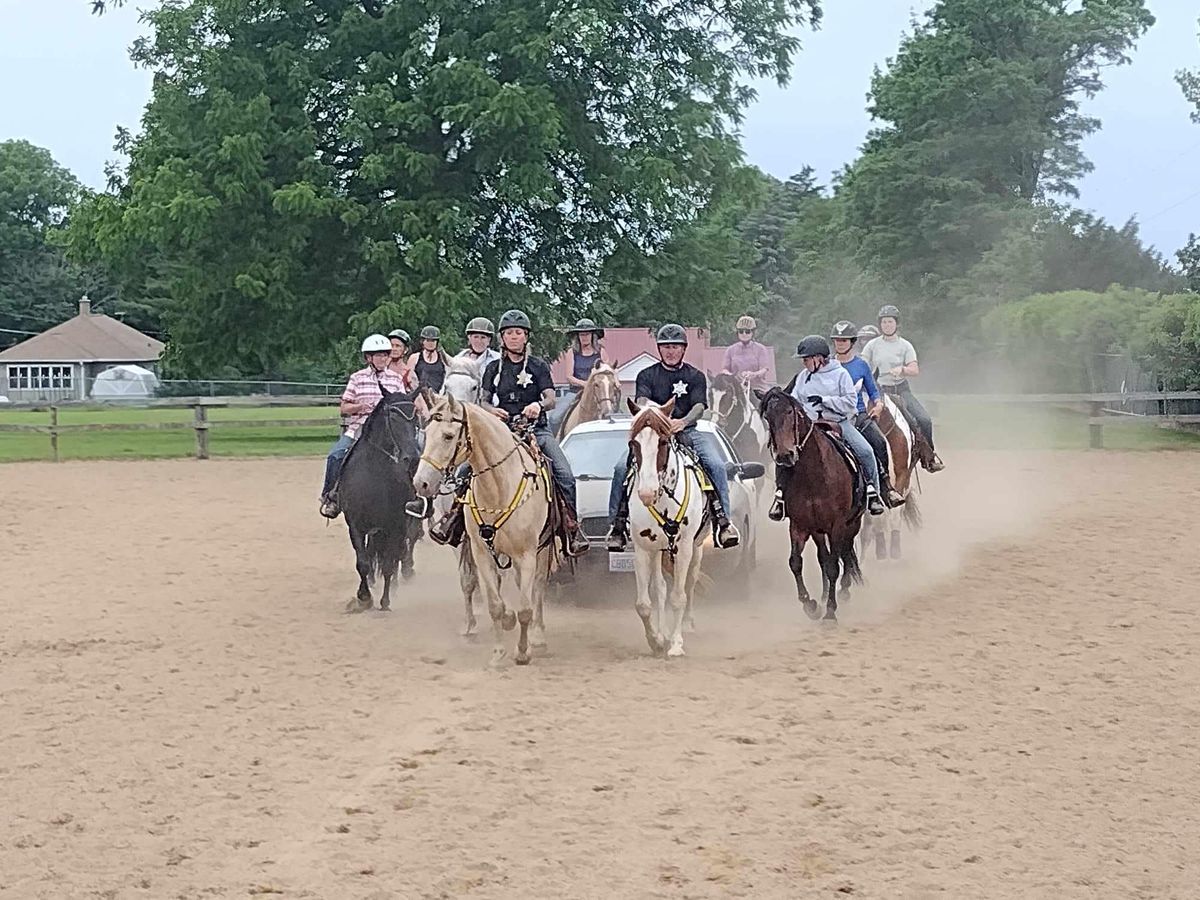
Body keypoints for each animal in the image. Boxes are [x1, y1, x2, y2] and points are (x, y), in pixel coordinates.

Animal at [338, 391, 422, 619]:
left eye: (415, 417)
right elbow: (363, 563)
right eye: (392, 416)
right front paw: (364, 597)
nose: (412, 458)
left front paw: (384, 601)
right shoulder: (356, 527)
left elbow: (388, 565)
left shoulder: (396, 526)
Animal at [412, 396, 556, 672]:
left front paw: (523, 652)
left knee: (538, 588)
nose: (421, 483)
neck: (498, 486)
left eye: (448, 435)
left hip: (542, 551)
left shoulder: (526, 555)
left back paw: (539, 636)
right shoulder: (481, 553)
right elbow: (495, 604)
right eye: (426, 432)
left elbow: (525, 607)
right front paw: (498, 653)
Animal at [624, 398, 705, 657]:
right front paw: (656, 640)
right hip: (658, 549)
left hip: (696, 548)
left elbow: (678, 596)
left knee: (689, 583)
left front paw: (676, 644)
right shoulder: (642, 548)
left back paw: (686, 625)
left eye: (662, 442)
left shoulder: (684, 547)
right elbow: (643, 603)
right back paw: (663, 633)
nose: (646, 493)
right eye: (634, 443)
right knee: (659, 588)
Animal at [758, 388, 864, 628]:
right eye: (768, 417)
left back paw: (843, 591)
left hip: (853, 523)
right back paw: (825, 596)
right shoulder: (799, 525)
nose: (785, 455)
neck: (813, 475)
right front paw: (811, 605)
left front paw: (830, 612)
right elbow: (796, 562)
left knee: (845, 553)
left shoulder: (837, 525)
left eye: (791, 412)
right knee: (824, 556)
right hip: (818, 530)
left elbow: (834, 565)